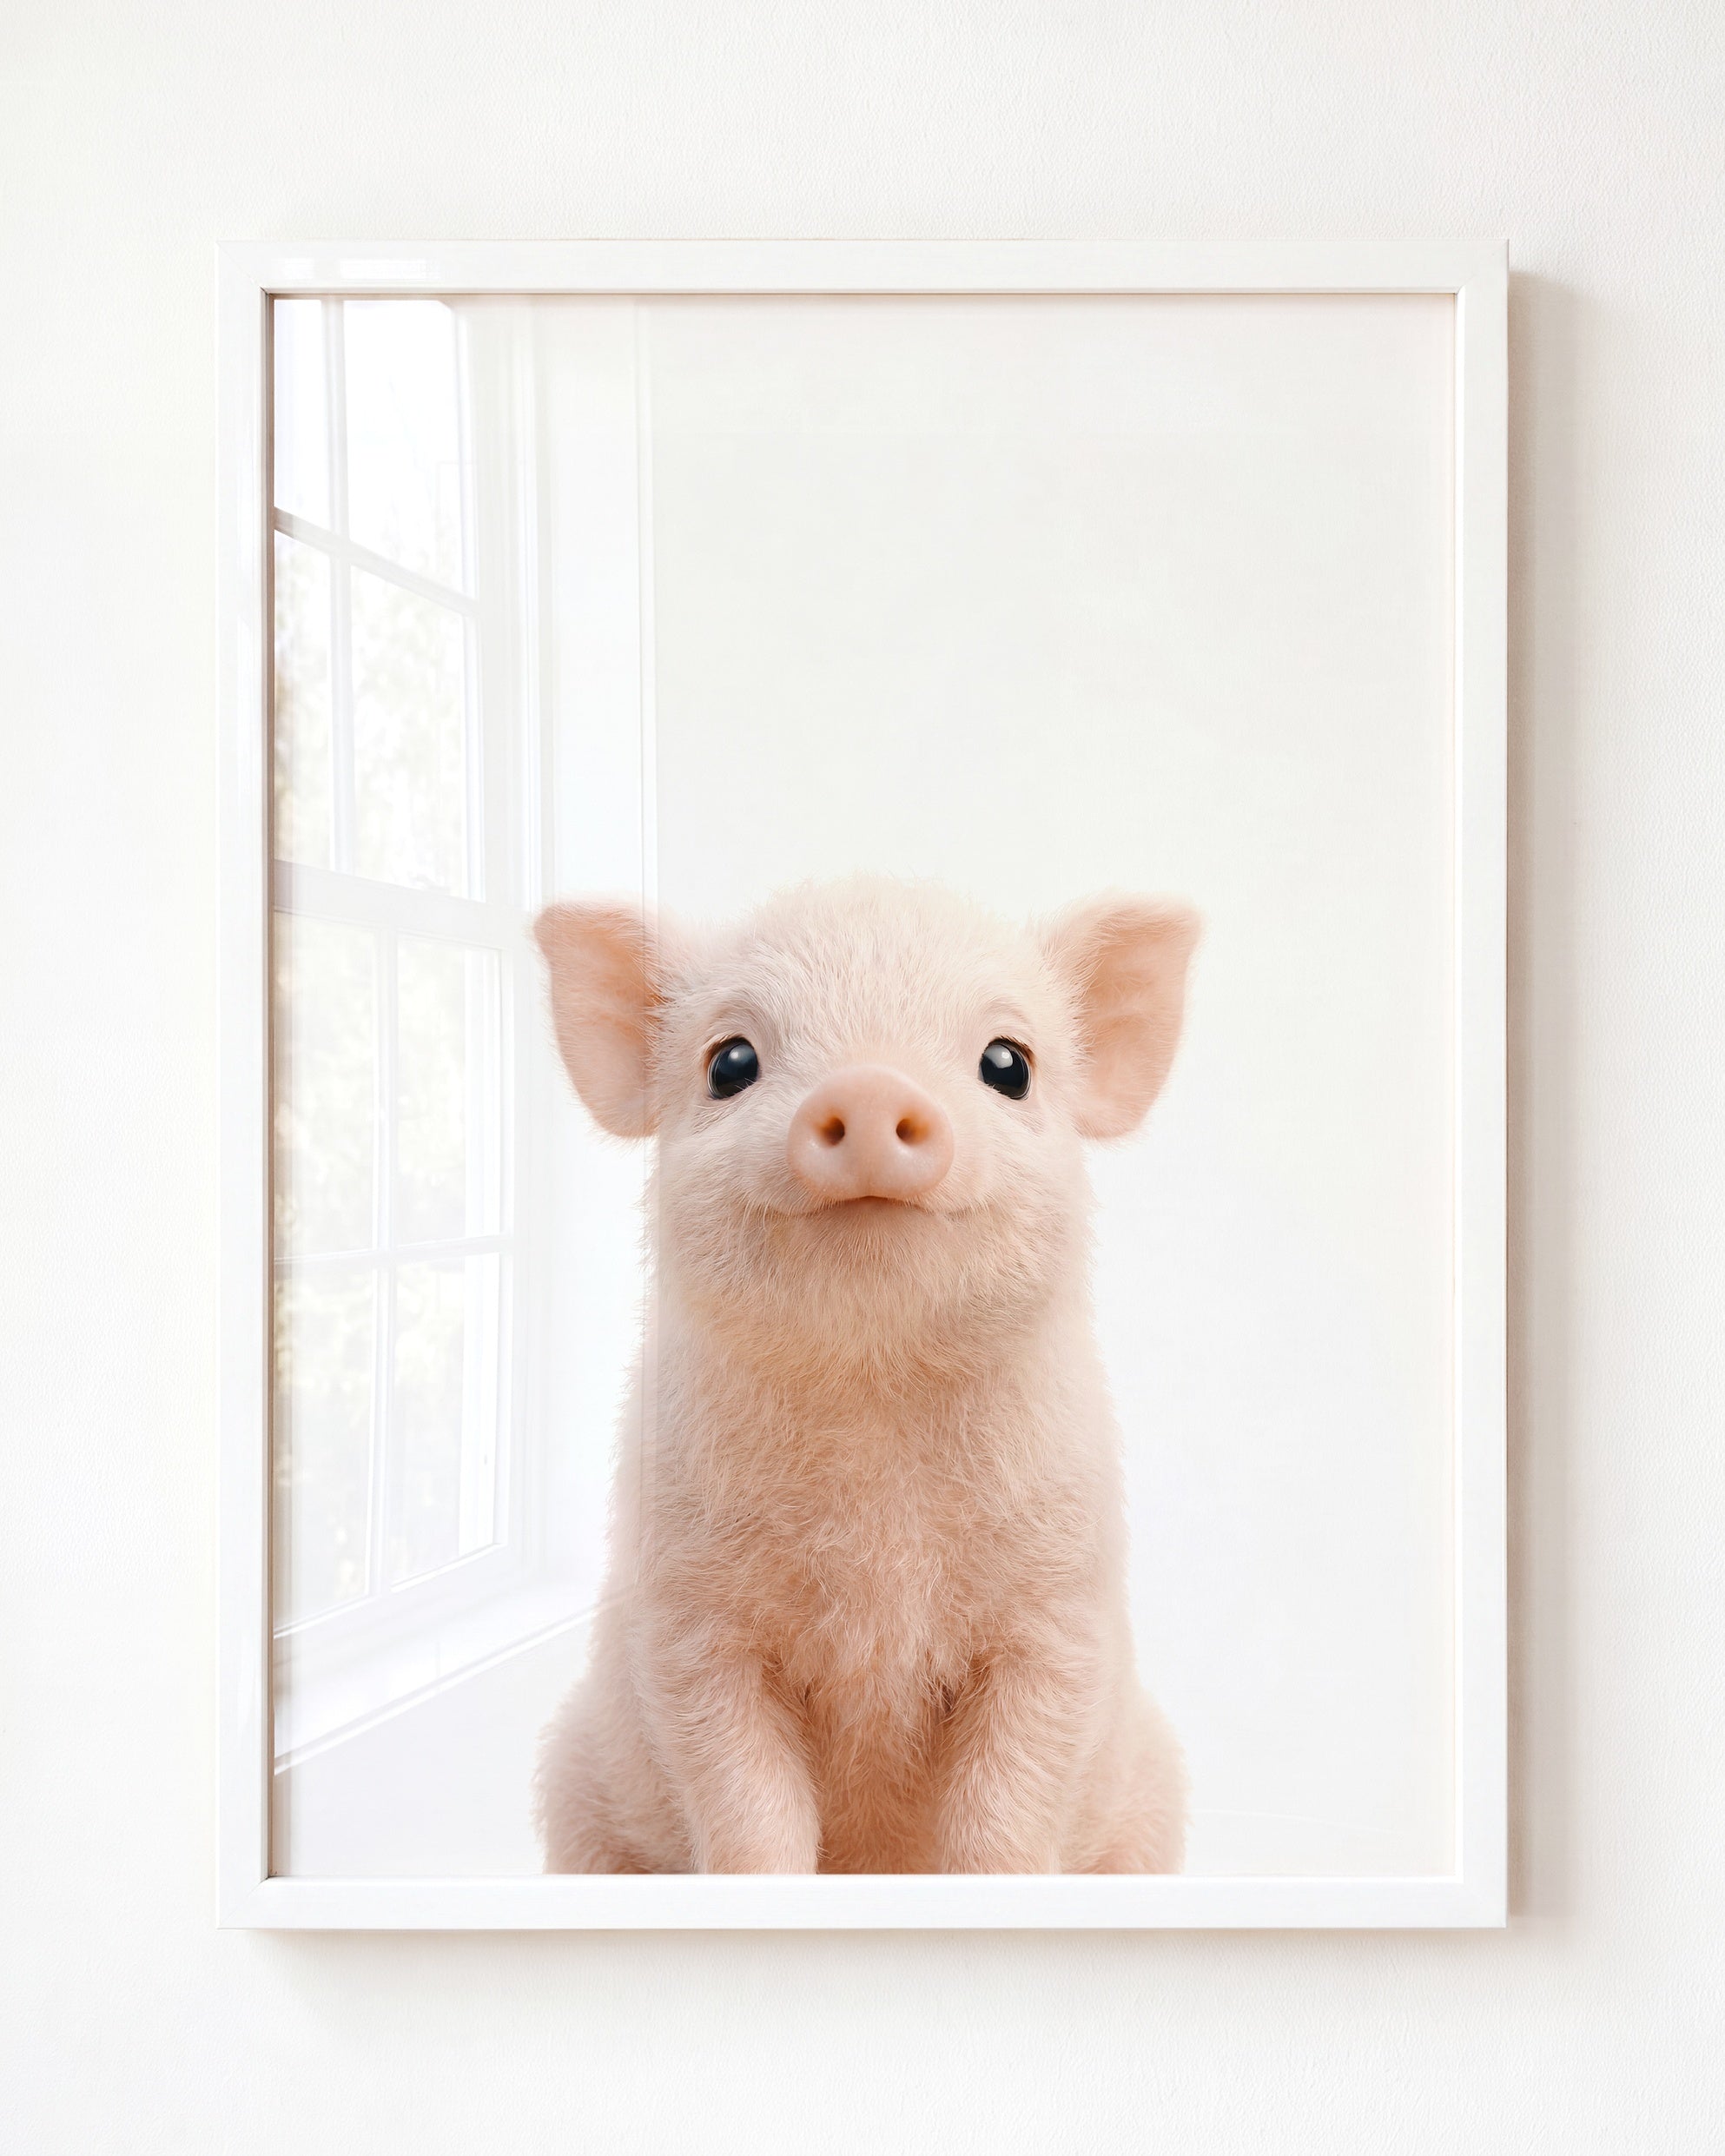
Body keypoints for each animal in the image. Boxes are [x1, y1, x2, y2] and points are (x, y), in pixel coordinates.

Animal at [531, 876, 1198, 1874]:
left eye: (1009, 1064)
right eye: (730, 1062)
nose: (872, 1084)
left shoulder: (1059, 1613)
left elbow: (1004, 1815)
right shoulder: (688, 1624)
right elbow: (750, 1811)